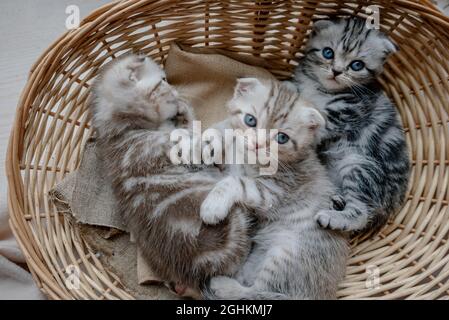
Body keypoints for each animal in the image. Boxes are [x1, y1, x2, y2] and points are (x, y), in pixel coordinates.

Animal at [201, 77, 348, 300]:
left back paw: (223, 285)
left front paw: (213, 206)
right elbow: (227, 131)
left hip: (286, 254)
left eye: (282, 138)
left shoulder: (275, 191)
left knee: (258, 291)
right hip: (260, 254)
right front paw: (211, 140)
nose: (257, 145)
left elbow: (234, 182)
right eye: (250, 120)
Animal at [292, 17, 412, 236]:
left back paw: (334, 218)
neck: (320, 89)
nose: (337, 71)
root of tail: (391, 205)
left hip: (361, 167)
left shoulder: (348, 111)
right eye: (328, 53)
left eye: (357, 65)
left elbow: (318, 122)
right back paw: (338, 200)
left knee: (362, 211)